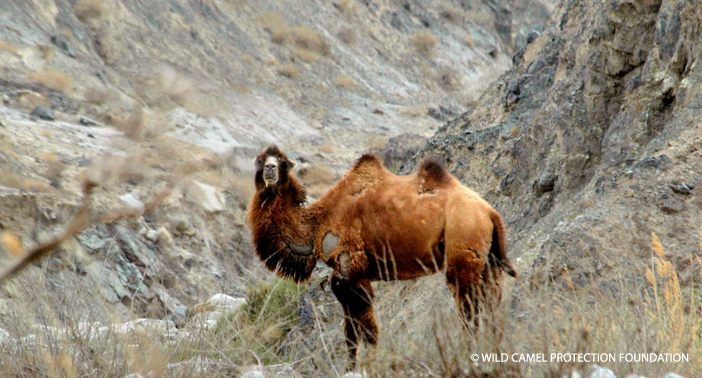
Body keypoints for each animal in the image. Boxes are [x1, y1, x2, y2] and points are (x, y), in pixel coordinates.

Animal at [246, 146, 516, 364]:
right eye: (259, 160)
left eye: (282, 162)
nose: (270, 169)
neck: (318, 225)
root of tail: (490, 213)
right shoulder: (343, 278)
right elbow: (351, 335)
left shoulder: (350, 266)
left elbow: (368, 332)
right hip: (489, 261)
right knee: (492, 304)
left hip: (463, 247)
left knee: (470, 308)